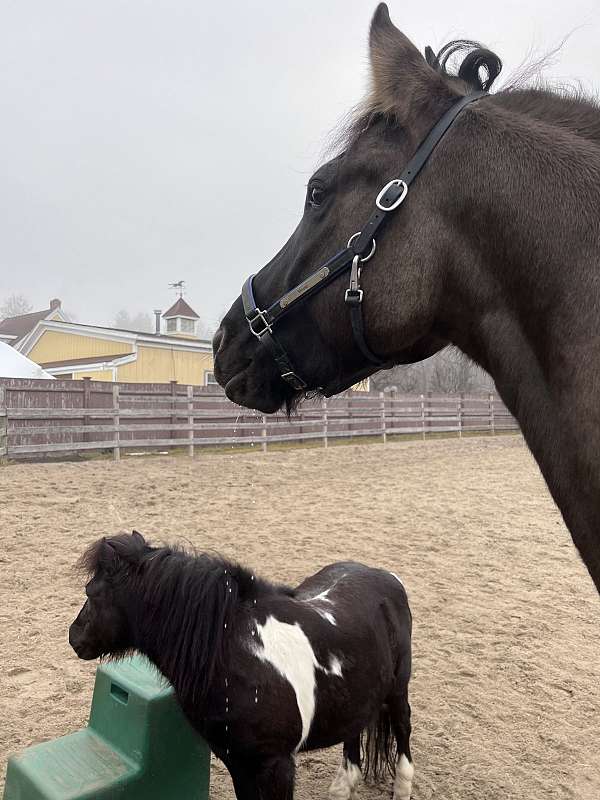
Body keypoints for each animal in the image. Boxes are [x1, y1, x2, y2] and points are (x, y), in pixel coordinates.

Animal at [69, 531, 414, 800]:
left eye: (91, 593)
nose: (74, 636)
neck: (236, 656)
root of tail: (384, 577)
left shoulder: (277, 766)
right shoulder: (239, 764)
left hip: (397, 692)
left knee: (403, 737)